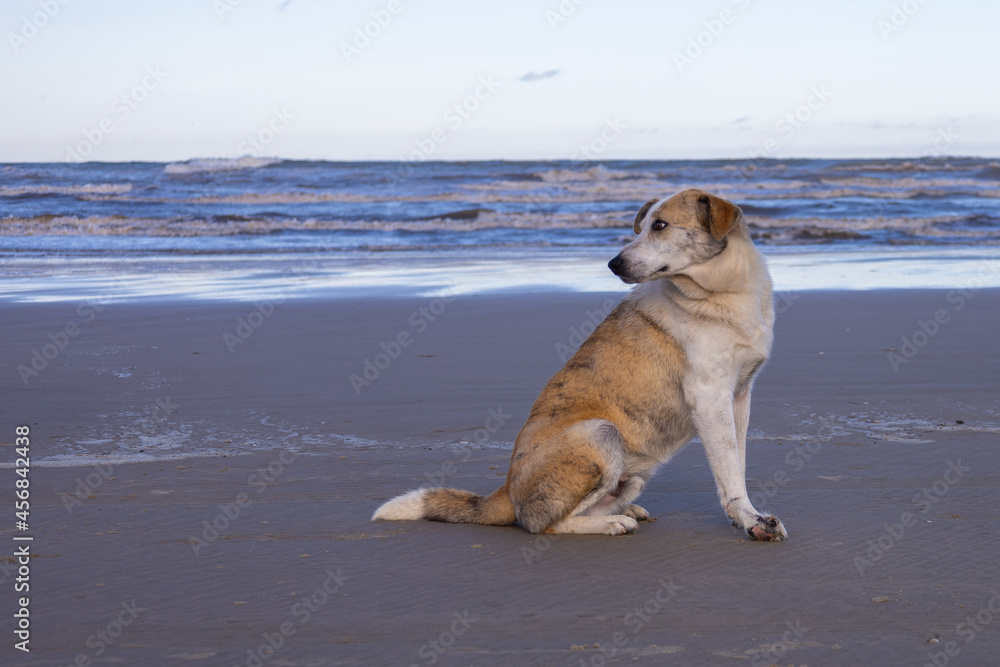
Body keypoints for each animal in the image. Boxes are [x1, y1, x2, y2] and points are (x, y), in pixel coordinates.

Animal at [372, 189, 784, 544]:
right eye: (643, 226)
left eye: (661, 225)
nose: (613, 264)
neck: (725, 292)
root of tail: (506, 489)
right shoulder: (709, 397)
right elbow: (729, 470)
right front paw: (749, 519)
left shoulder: (739, 394)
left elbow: (736, 462)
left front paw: (746, 515)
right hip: (602, 434)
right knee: (540, 523)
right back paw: (610, 523)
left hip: (630, 472)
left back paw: (624, 511)